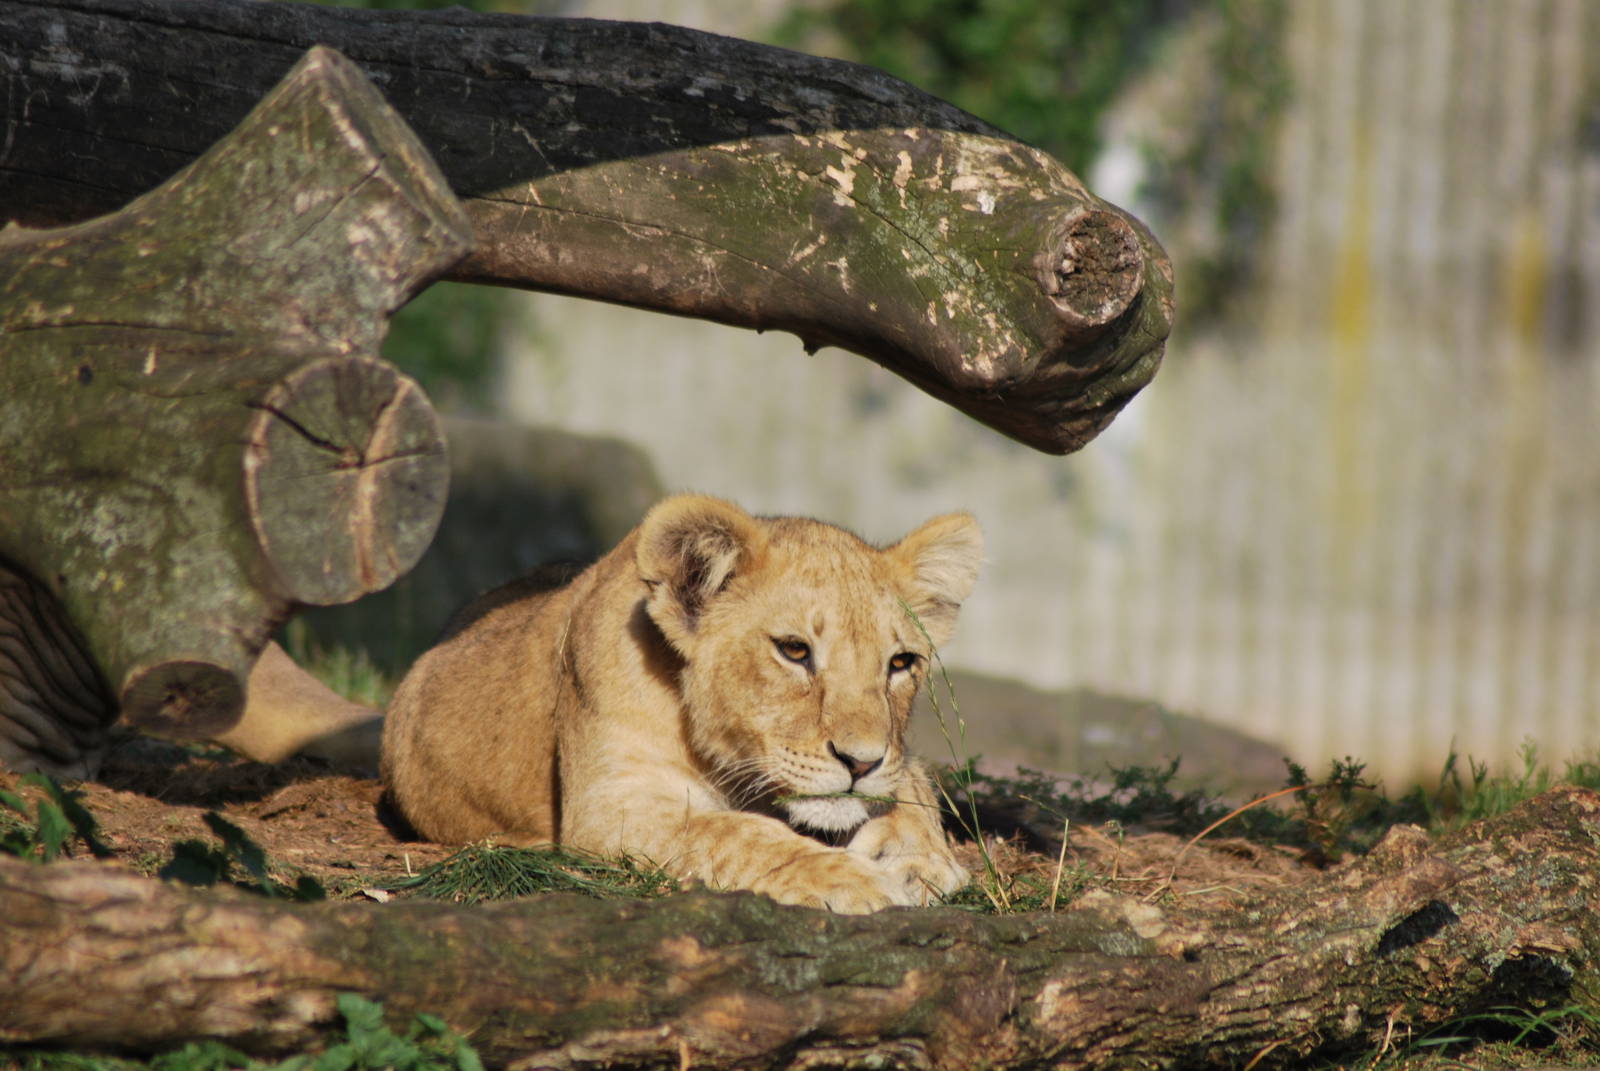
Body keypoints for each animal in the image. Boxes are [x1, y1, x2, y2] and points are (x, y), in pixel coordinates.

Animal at [380, 493, 983, 913]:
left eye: (900, 663)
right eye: (794, 651)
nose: (861, 762)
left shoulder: (901, 756)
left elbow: (914, 787)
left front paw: (920, 858)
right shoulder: (611, 809)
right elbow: (735, 834)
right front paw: (853, 880)